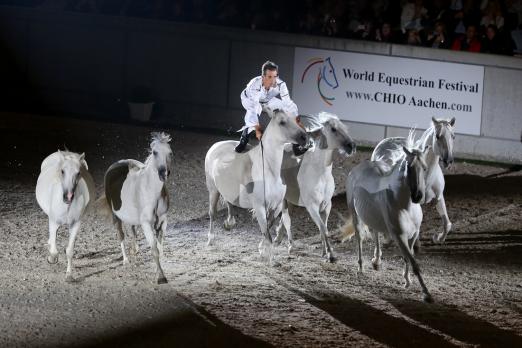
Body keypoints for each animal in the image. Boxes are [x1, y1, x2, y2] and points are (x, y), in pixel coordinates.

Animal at [102, 132, 172, 284]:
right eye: (154, 152)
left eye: (170, 152)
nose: (164, 173)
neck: (151, 191)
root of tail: (116, 164)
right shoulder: (146, 224)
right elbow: (154, 250)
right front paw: (161, 277)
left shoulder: (163, 221)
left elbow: (159, 248)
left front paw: (158, 273)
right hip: (115, 215)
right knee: (120, 235)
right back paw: (126, 260)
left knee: (133, 230)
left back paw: (135, 250)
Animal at [274, 113, 356, 262]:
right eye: (334, 129)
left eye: (344, 127)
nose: (351, 146)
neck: (321, 174)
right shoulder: (312, 207)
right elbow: (323, 228)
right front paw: (330, 255)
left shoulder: (326, 206)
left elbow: (324, 229)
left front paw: (324, 251)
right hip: (282, 199)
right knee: (286, 220)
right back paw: (290, 246)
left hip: (290, 201)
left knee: (284, 219)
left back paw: (279, 239)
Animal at [346, 144, 430, 302]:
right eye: (409, 167)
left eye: (425, 167)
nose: (417, 196)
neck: (405, 206)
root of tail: (358, 168)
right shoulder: (399, 236)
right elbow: (413, 262)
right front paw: (426, 294)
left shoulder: (413, 235)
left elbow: (408, 258)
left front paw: (407, 281)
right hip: (355, 214)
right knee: (360, 238)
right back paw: (361, 268)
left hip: (373, 216)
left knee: (375, 233)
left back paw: (376, 262)